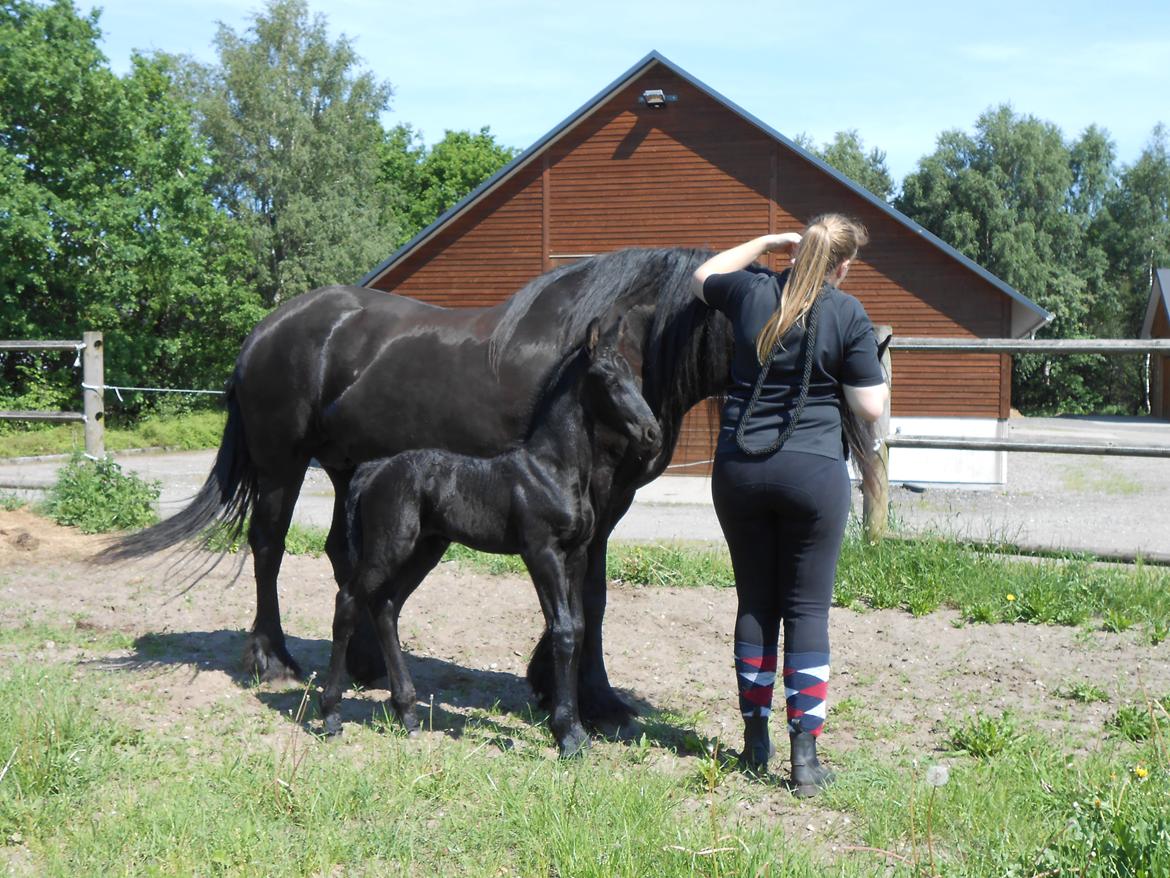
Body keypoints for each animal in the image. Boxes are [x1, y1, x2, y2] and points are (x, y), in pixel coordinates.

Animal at [320, 323, 664, 758]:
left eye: (634, 377)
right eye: (609, 379)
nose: (652, 434)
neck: (553, 469)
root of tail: (373, 470)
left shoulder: (576, 556)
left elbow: (579, 627)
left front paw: (574, 731)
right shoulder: (542, 553)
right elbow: (563, 631)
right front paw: (568, 736)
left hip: (425, 550)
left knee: (386, 606)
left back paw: (408, 715)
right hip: (389, 546)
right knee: (349, 601)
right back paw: (331, 717)